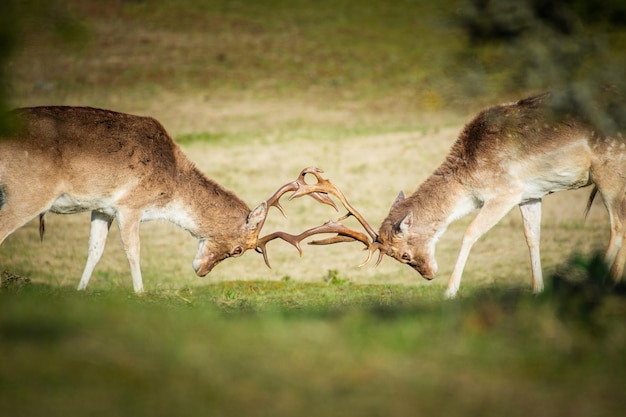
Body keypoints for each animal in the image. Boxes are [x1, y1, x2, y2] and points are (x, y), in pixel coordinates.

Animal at [0, 104, 346, 292]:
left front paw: (80, 290)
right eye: (238, 250)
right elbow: (133, 251)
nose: (202, 271)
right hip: (28, 190)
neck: (171, 186)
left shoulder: (102, 207)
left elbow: (94, 250)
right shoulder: (130, 204)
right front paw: (141, 292)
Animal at [274, 92, 626, 298]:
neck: (467, 179)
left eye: (404, 255)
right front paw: (538, 290)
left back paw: (601, 282)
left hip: (608, 169)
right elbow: (532, 238)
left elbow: (469, 232)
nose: (429, 275)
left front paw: (450, 292)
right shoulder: (530, 195)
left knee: (617, 225)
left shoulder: (504, 191)